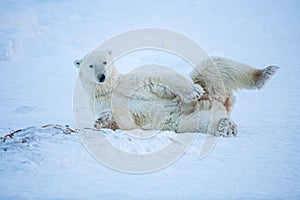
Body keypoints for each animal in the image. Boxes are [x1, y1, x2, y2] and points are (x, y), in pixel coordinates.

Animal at [75, 49, 278, 137]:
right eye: (91, 65)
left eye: (105, 62)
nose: (102, 76)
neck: (110, 88)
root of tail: (223, 102)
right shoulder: (100, 102)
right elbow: (124, 120)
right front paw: (101, 121)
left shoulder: (130, 81)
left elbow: (157, 80)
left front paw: (193, 92)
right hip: (192, 116)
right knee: (203, 121)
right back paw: (225, 126)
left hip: (209, 86)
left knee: (215, 65)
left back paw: (264, 73)